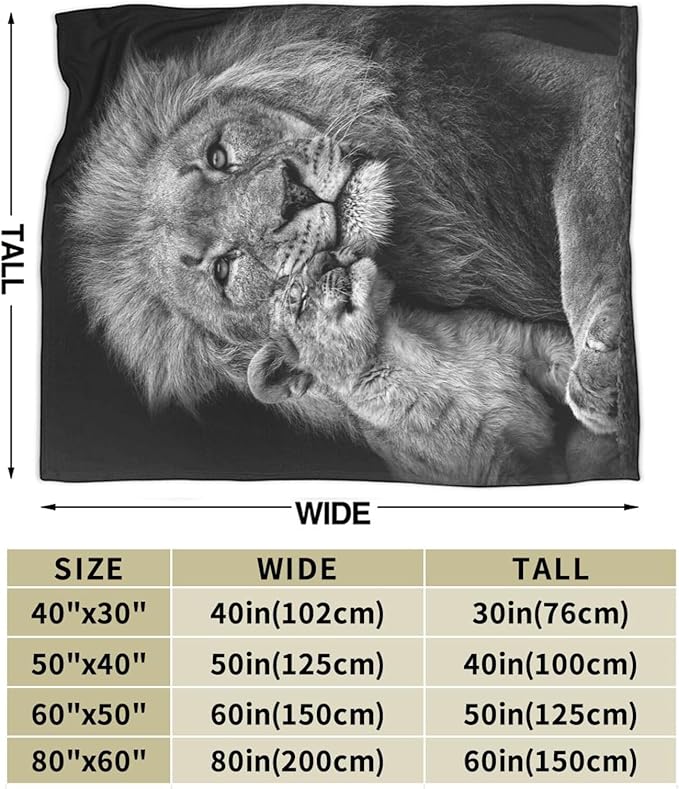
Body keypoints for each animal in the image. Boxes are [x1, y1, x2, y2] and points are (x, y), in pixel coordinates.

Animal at [248, 252, 575, 484]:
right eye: (297, 300)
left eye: (318, 259)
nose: (327, 257)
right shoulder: (496, 468)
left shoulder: (526, 343)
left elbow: (565, 355)